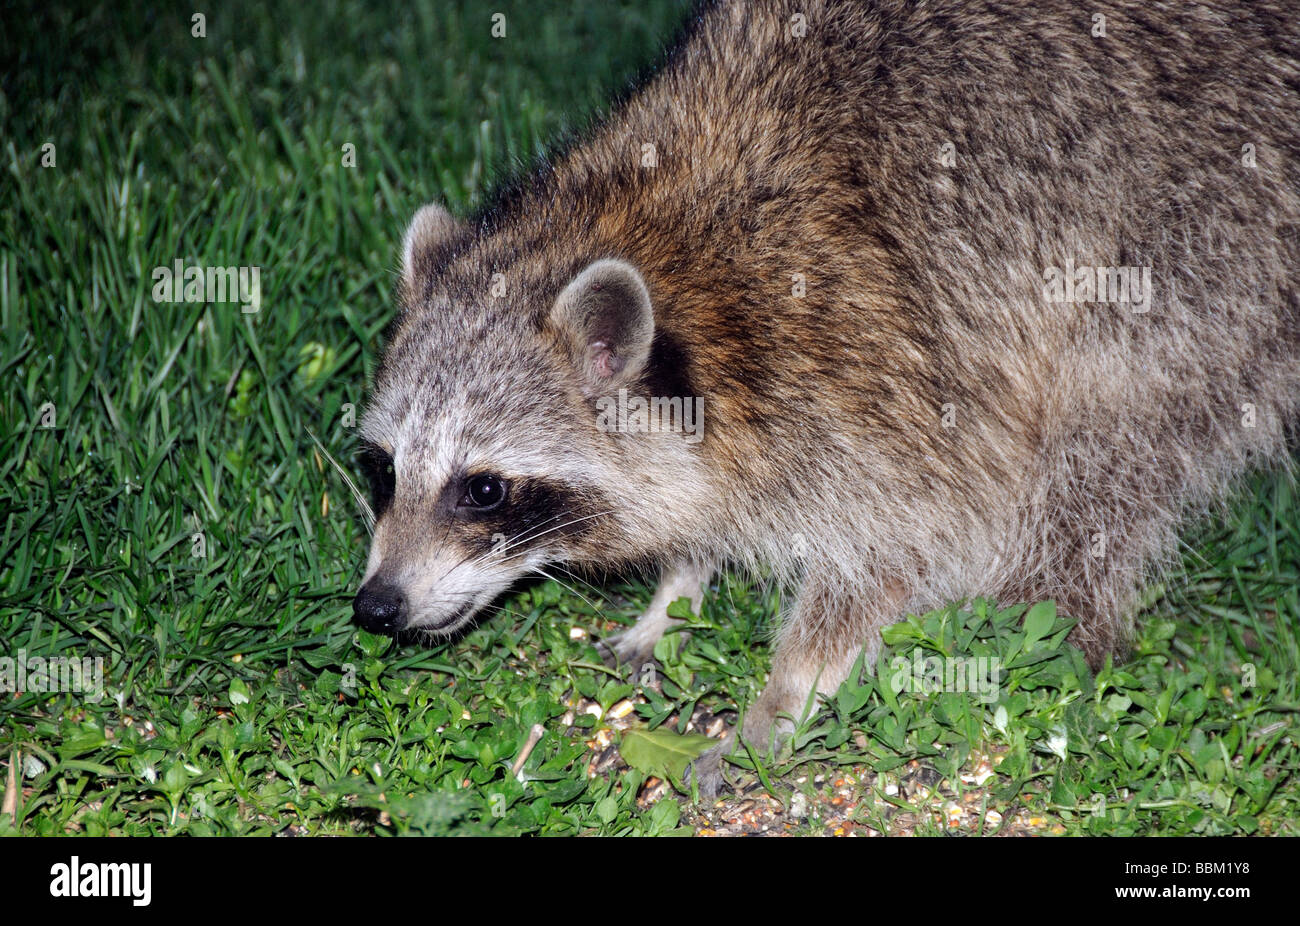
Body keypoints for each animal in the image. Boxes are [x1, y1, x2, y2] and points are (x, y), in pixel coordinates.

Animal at [356, 0, 1300, 795]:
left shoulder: (881, 359)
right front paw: (681, 586)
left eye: (483, 489)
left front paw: (785, 695)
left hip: (1204, 247)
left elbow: (913, 539)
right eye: (384, 470)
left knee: (1103, 450)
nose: (375, 606)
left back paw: (1039, 623)